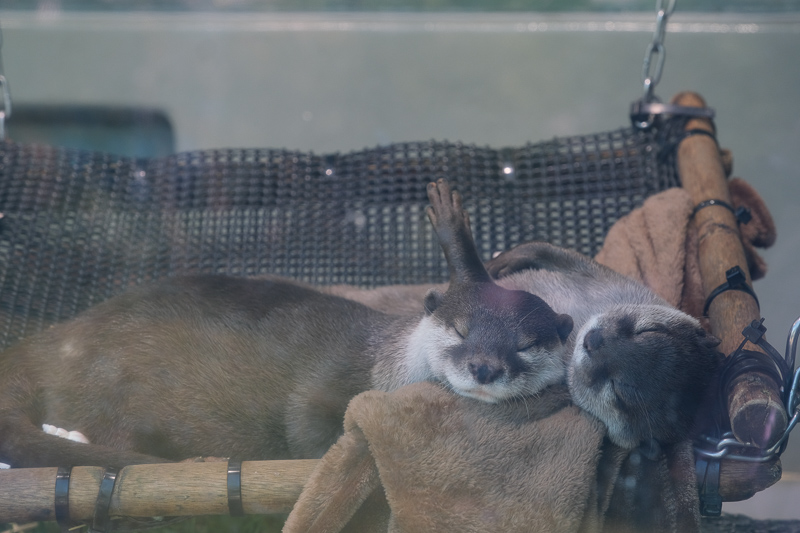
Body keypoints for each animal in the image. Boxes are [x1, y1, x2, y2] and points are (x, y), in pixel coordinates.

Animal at [0, 180, 576, 466]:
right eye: (460, 330)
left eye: (526, 344)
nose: (485, 367)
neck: (385, 368)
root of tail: (52, 340)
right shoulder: (328, 383)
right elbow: (306, 421)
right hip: (106, 382)